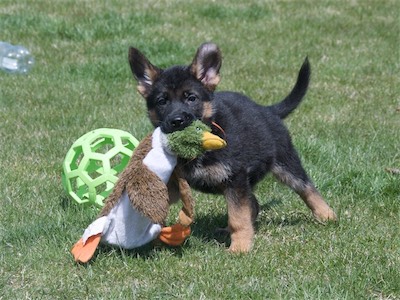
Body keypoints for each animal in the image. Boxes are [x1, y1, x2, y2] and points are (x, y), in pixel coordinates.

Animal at [127, 42, 334, 253]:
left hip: (285, 162)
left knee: (306, 187)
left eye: (191, 98)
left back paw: (326, 215)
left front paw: (240, 248)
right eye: (162, 101)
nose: (177, 121)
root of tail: (267, 110)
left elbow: (238, 217)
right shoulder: (177, 183)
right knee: (254, 204)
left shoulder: (235, 179)